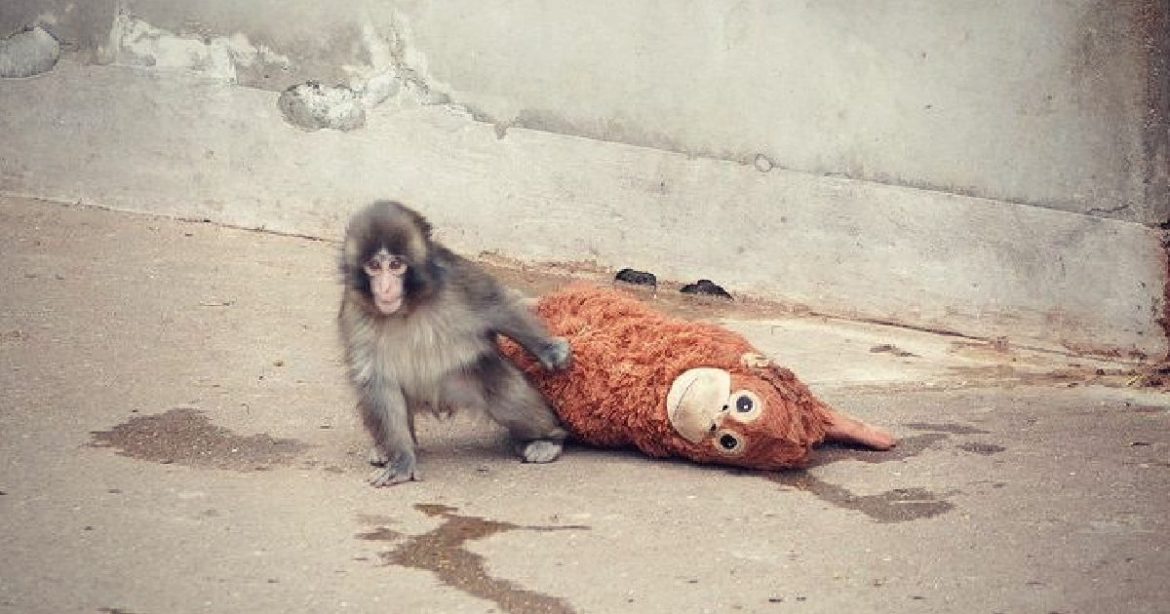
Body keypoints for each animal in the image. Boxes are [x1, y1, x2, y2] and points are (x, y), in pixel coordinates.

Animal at [338, 200, 572, 487]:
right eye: (373, 266)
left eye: (395, 265)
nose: (384, 288)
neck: (406, 308)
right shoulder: (354, 312)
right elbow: (376, 380)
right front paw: (401, 460)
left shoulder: (457, 280)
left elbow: (496, 307)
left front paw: (548, 349)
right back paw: (388, 448)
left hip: (458, 382)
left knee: (503, 391)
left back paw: (547, 438)